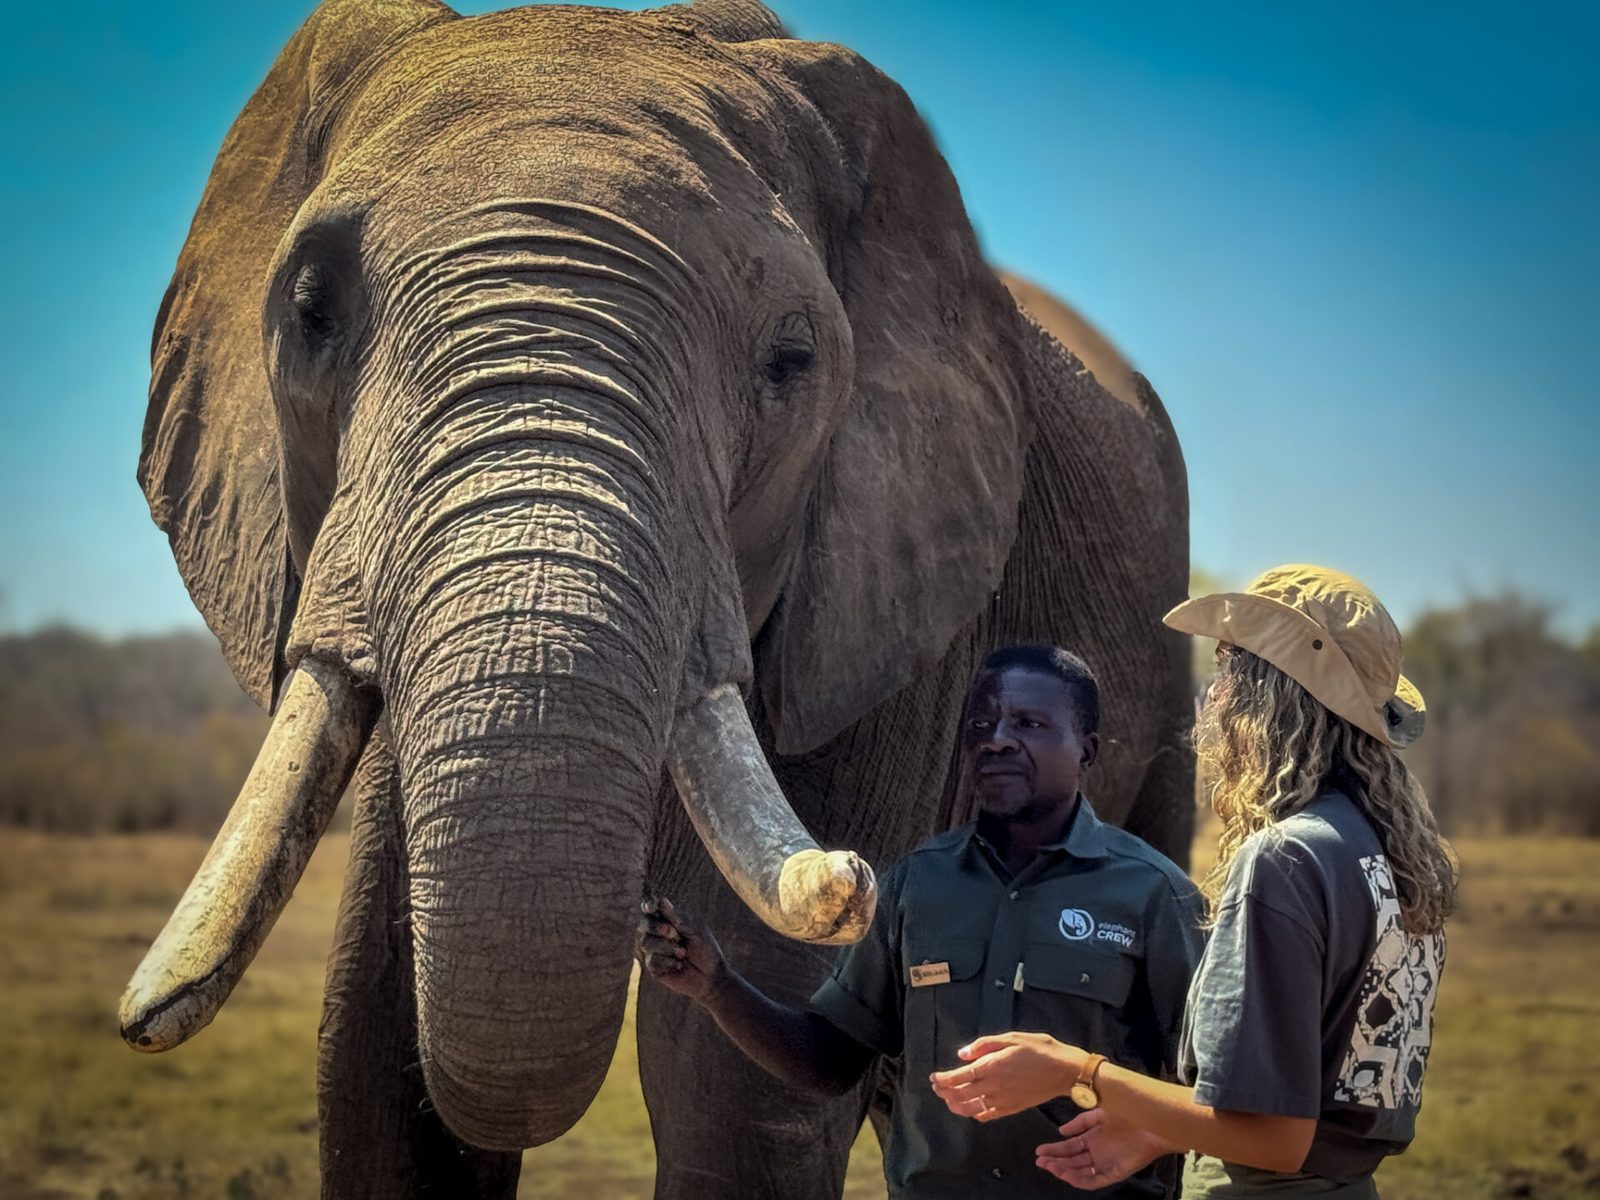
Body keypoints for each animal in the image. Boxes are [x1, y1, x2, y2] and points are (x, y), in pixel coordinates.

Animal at [119, 0, 1192, 1195]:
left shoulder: (890, 605)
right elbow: (372, 1048)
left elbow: (729, 1092)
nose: (854, 885)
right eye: (309, 310)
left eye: (791, 358)